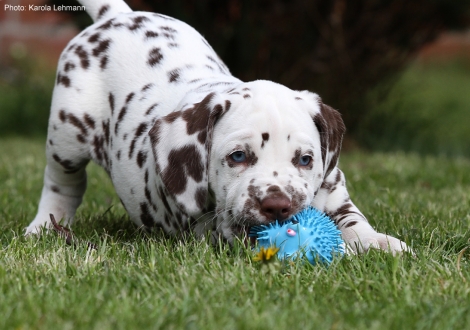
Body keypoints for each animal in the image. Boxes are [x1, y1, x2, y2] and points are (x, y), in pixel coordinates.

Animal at [26, 0, 408, 254]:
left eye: (305, 160)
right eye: (238, 156)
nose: (277, 206)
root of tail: (115, 15)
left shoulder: (334, 190)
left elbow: (353, 220)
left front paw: (379, 243)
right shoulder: (207, 227)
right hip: (66, 136)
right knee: (62, 185)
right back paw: (44, 226)